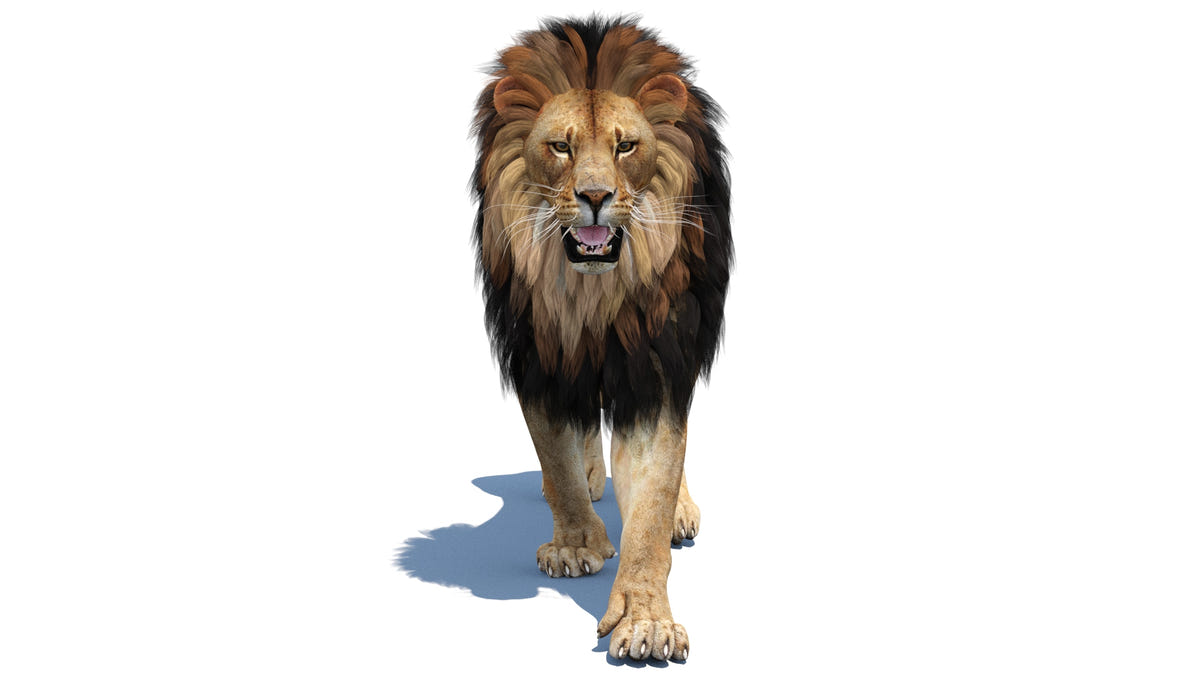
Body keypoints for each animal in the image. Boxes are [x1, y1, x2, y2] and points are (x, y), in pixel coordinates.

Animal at [471, 16, 732, 662]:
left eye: (626, 146)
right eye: (560, 147)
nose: (594, 197)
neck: (592, 297)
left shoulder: (658, 365)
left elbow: (654, 489)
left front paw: (646, 621)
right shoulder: (538, 353)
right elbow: (555, 452)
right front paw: (575, 543)